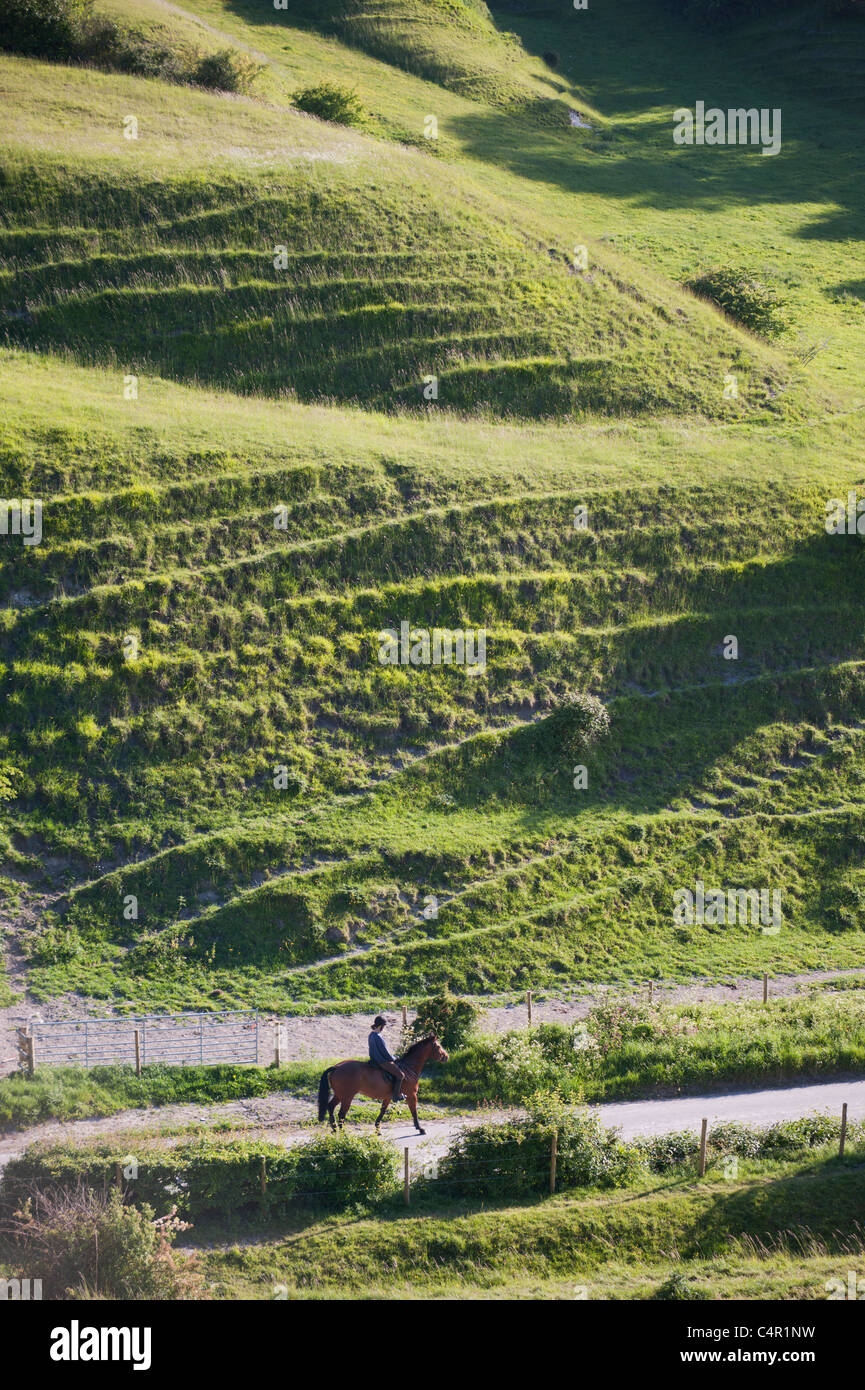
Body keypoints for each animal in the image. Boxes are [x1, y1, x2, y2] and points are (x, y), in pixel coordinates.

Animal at [319, 1039, 453, 1134]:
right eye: (438, 1046)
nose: (446, 1056)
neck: (409, 1068)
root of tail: (336, 1067)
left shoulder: (388, 1097)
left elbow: (382, 1111)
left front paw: (378, 1129)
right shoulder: (412, 1095)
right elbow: (414, 1111)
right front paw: (420, 1128)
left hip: (339, 1094)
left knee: (330, 1107)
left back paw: (334, 1130)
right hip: (347, 1096)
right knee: (341, 1114)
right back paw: (342, 1133)